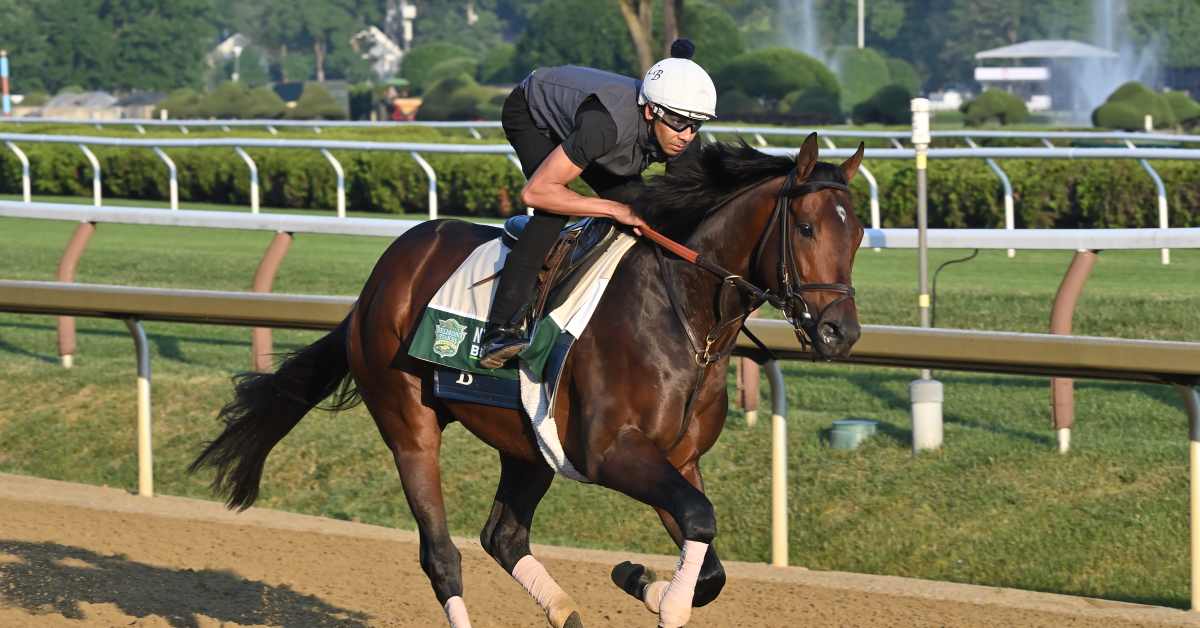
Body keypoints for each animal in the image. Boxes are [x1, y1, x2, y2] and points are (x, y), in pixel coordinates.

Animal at [189, 135, 864, 628]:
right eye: (806, 229)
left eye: (857, 233)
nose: (841, 332)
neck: (683, 318)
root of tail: (377, 282)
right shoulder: (611, 452)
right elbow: (699, 524)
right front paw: (655, 593)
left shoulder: (679, 458)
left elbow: (710, 563)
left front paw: (638, 579)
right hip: (409, 425)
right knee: (442, 556)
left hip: (529, 443)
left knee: (504, 537)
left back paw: (567, 612)